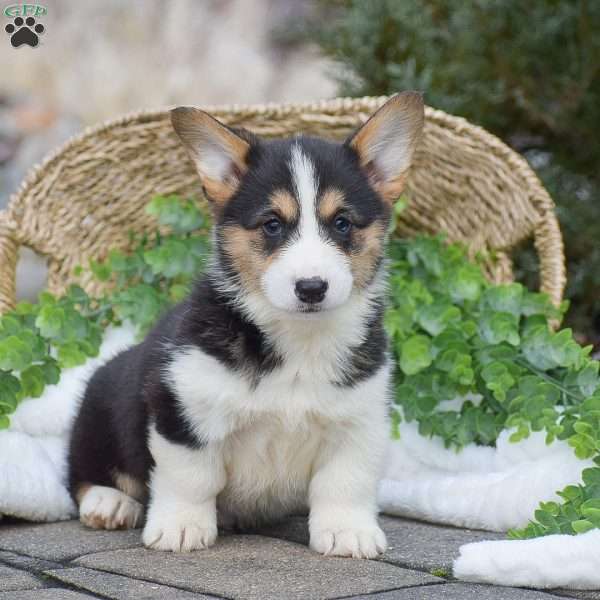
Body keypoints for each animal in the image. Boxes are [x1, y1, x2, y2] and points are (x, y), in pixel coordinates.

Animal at [68, 91, 424, 560]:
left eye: (342, 223)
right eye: (272, 224)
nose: (312, 288)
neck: (297, 339)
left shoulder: (359, 421)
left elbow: (345, 482)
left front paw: (348, 532)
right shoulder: (184, 409)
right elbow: (191, 477)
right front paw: (181, 528)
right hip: (101, 401)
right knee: (83, 472)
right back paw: (108, 502)